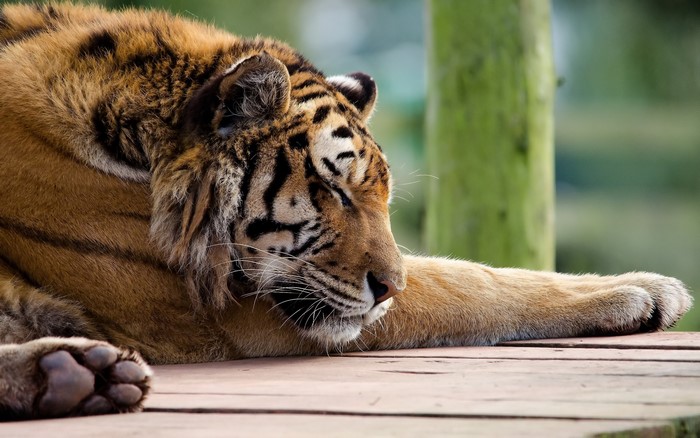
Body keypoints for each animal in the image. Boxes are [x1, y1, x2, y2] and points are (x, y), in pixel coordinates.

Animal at [0, 3, 692, 421]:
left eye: (383, 198)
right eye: (333, 190)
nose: (388, 288)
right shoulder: (210, 308)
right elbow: (469, 282)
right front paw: (643, 290)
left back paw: (75, 373)